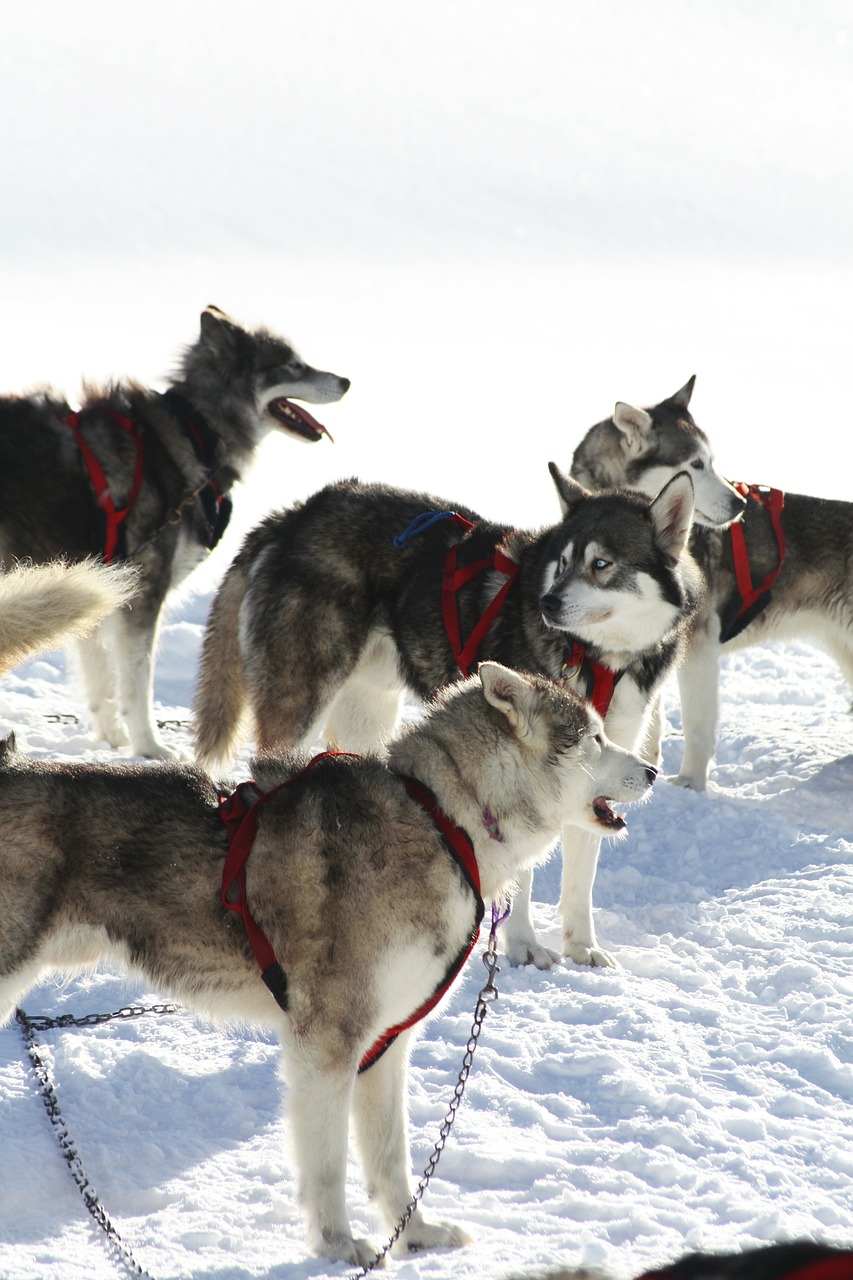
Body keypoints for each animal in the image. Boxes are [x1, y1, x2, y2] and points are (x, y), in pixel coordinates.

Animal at [0, 665, 650, 1264]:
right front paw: (338, 1247)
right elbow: (330, 1165)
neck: (444, 820)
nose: (651, 771)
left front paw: (414, 1235)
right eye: (594, 738)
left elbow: (391, 1160)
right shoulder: (329, 1044)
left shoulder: (386, 1044)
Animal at [192, 471, 696, 967]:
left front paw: (581, 946)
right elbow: (521, 876)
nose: (548, 603)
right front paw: (525, 945)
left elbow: (581, 870)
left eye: (601, 564)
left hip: (368, 713)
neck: (596, 657)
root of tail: (294, 514)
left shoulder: (600, 763)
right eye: (564, 561)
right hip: (302, 700)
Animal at [568, 373, 850, 783]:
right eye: (695, 463)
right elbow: (650, 720)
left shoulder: (697, 643)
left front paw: (690, 784)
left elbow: (696, 725)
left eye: (711, 462)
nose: (740, 503)